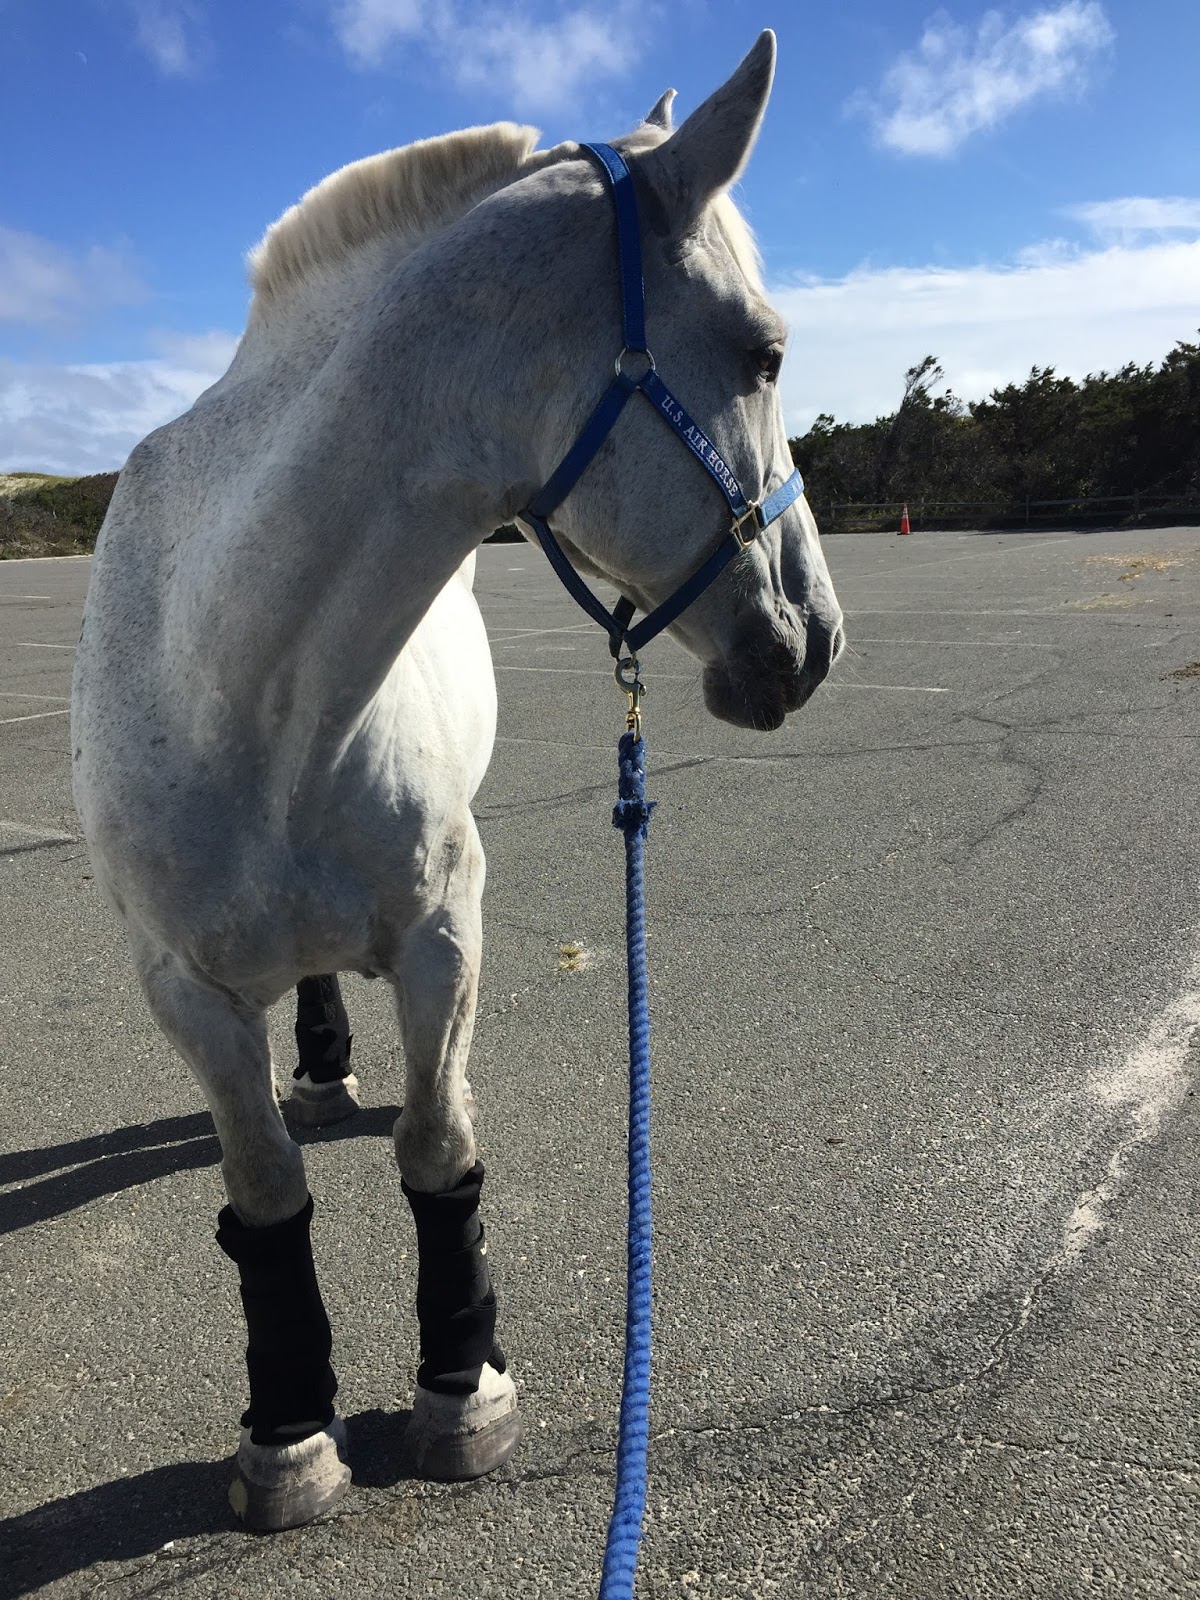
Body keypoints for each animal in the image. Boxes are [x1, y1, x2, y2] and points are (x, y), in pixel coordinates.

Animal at [71, 29, 844, 1532]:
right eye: (766, 349)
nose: (818, 640)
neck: (238, 685)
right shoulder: (181, 988)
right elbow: (265, 1191)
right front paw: (289, 1431)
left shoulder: (447, 930)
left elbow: (440, 1149)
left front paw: (460, 1383)